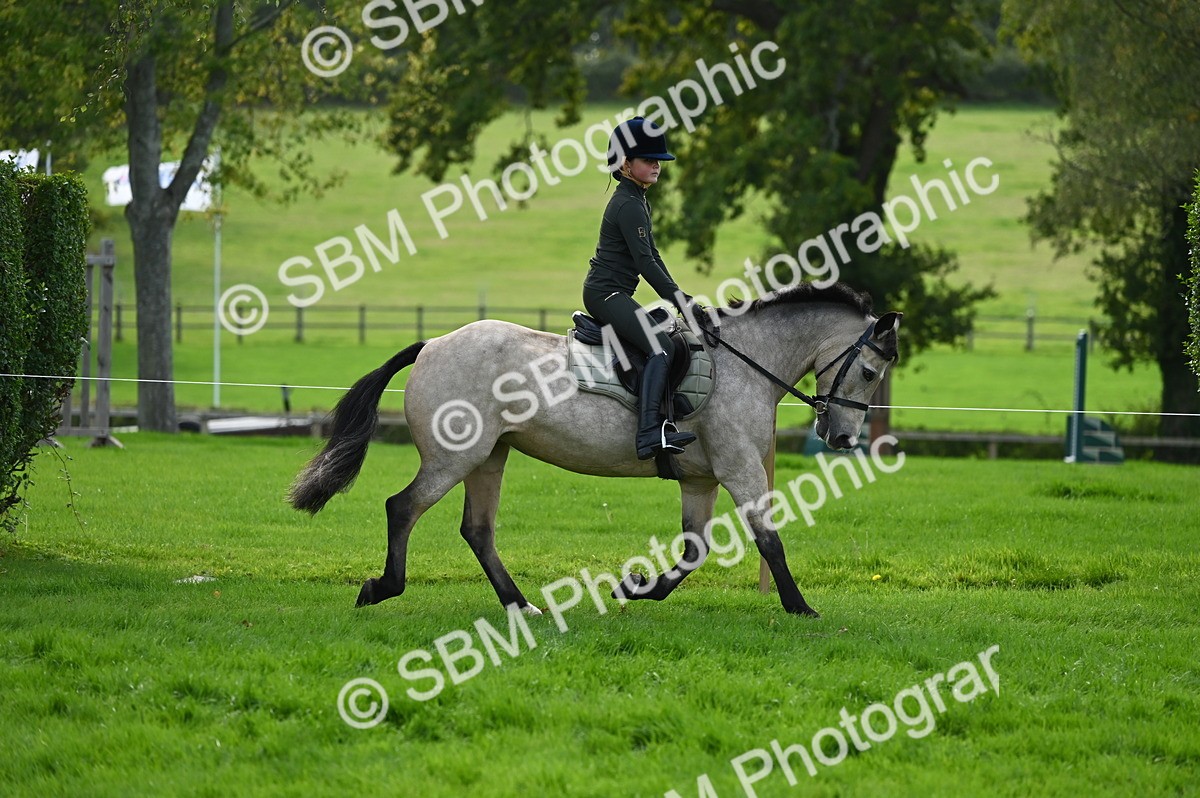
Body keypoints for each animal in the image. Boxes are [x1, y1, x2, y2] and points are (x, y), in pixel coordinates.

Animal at [288, 282, 902, 618]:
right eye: (870, 372)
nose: (842, 438)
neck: (744, 361)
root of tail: (432, 343)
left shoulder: (701, 479)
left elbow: (694, 549)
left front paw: (637, 588)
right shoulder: (740, 468)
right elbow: (769, 540)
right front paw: (800, 607)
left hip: (490, 456)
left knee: (477, 531)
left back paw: (521, 604)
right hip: (453, 457)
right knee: (404, 507)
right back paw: (381, 587)